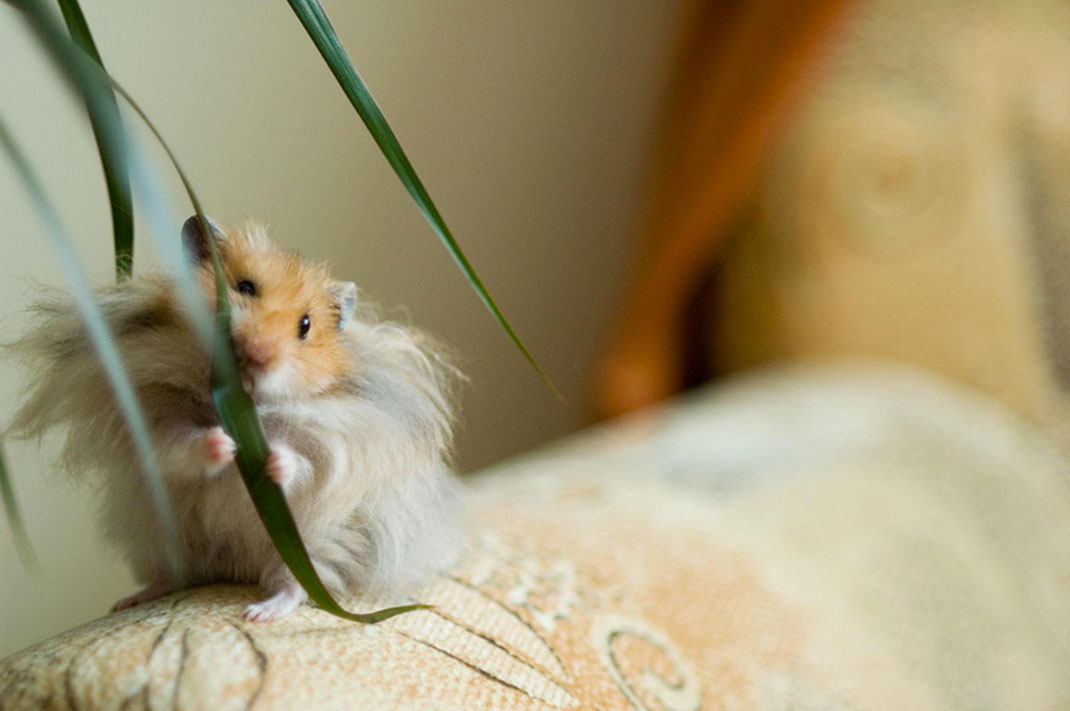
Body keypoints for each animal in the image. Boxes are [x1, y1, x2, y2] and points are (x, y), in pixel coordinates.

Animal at [8, 216, 462, 622]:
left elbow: (301, 463)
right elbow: (179, 447)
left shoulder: (330, 444)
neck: (237, 404)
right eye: (244, 288)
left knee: (294, 585)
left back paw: (259, 614)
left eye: (305, 326)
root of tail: (235, 568)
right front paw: (224, 444)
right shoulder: (156, 423)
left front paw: (268, 458)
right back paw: (131, 601)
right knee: (177, 576)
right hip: (160, 534)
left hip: (318, 542)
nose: (258, 354)